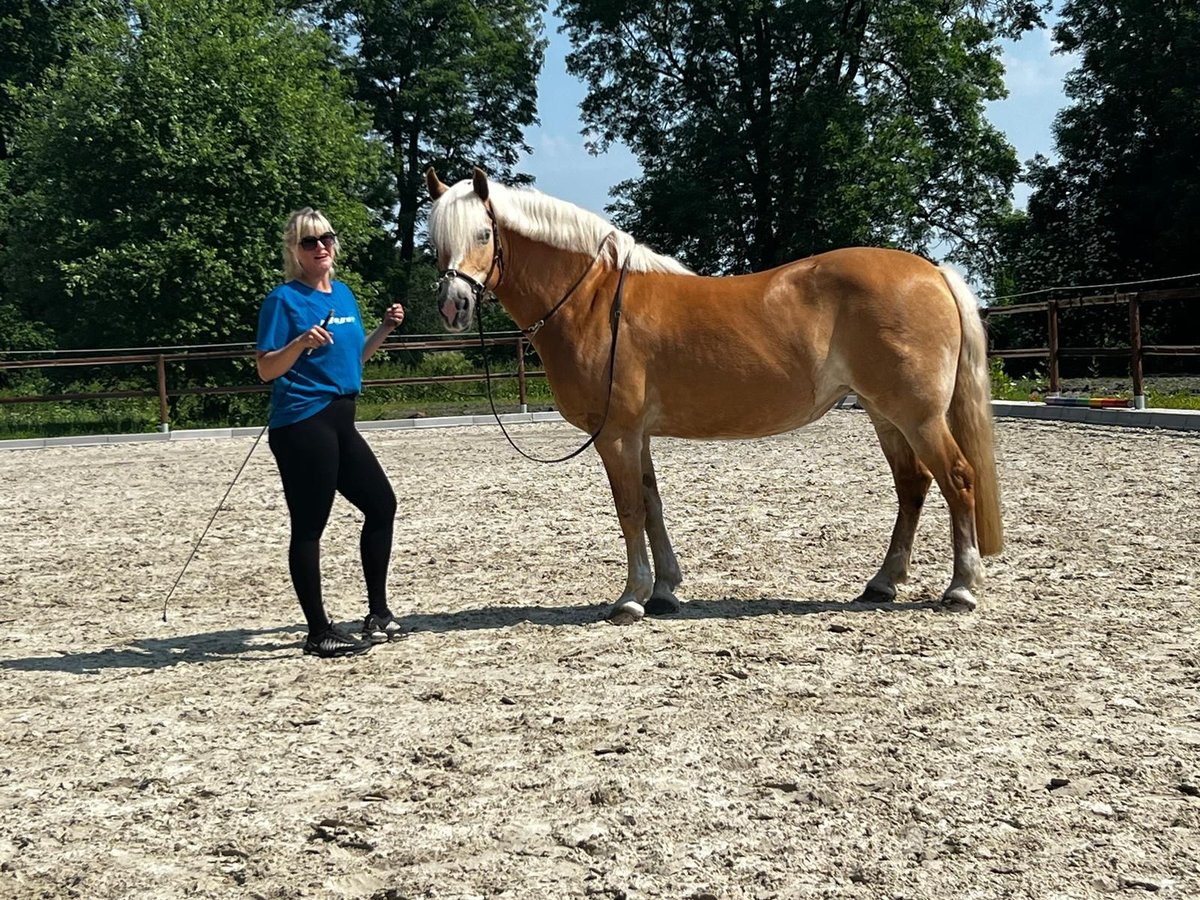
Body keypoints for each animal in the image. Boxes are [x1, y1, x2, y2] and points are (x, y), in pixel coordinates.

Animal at [427, 165, 998, 624]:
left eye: (484, 233)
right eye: (436, 241)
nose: (454, 306)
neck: (593, 302)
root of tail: (932, 272)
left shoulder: (616, 435)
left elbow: (629, 510)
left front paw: (630, 598)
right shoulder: (638, 436)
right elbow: (652, 505)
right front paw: (664, 591)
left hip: (918, 417)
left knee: (957, 479)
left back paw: (961, 588)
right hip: (885, 415)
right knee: (913, 487)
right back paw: (883, 583)